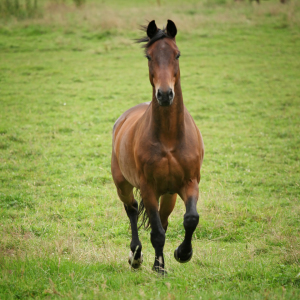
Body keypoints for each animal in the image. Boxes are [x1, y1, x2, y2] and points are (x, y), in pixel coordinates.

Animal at [111, 19, 205, 274]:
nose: (164, 95)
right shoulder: (148, 188)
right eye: (149, 56)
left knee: (162, 219)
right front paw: (159, 267)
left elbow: (190, 218)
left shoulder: (189, 182)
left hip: (169, 195)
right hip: (122, 184)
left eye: (177, 54)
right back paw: (136, 256)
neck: (169, 138)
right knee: (132, 210)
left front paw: (183, 253)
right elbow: (156, 233)